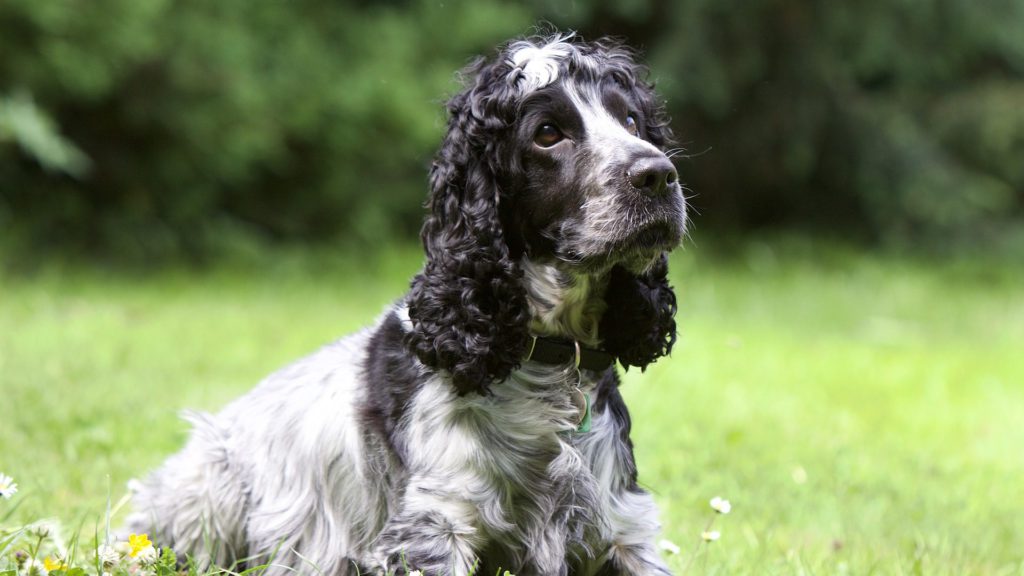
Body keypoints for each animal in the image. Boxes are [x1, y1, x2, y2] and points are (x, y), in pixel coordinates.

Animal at [128, 32, 688, 573]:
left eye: (632, 120)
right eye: (547, 133)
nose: (658, 174)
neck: (548, 363)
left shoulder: (624, 528)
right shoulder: (434, 526)